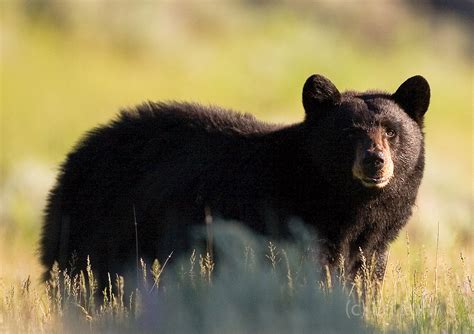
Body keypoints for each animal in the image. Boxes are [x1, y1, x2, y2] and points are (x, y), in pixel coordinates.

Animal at [39, 73, 430, 288]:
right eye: (349, 132)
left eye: (391, 132)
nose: (375, 161)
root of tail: (75, 156)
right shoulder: (276, 220)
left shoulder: (372, 245)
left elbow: (363, 277)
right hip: (100, 224)